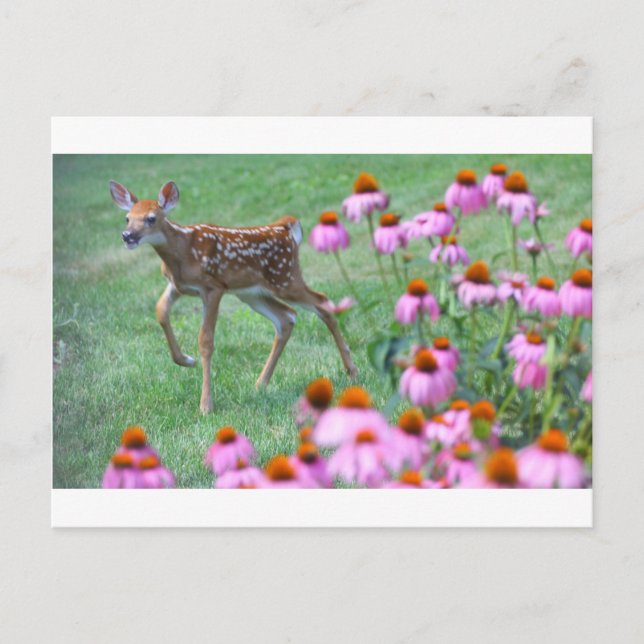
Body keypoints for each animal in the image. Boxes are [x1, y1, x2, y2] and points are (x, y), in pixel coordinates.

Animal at [109, 180, 358, 414]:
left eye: (151, 218)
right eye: (127, 218)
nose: (127, 236)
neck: (182, 253)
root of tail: (286, 229)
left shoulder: (213, 287)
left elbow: (206, 340)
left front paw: (205, 405)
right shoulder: (178, 286)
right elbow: (160, 311)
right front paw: (186, 360)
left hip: (285, 278)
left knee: (321, 301)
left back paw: (352, 370)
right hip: (251, 293)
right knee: (287, 317)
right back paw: (260, 384)